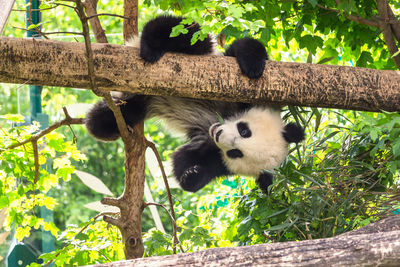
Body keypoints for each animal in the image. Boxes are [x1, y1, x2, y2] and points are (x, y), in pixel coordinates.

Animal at [84, 15, 304, 194]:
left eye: (236, 153)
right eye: (244, 130)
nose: (219, 133)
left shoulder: (216, 155)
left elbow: (184, 160)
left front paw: (192, 175)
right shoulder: (244, 92)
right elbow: (244, 47)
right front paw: (253, 65)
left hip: (136, 103)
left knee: (103, 122)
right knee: (187, 33)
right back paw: (151, 47)